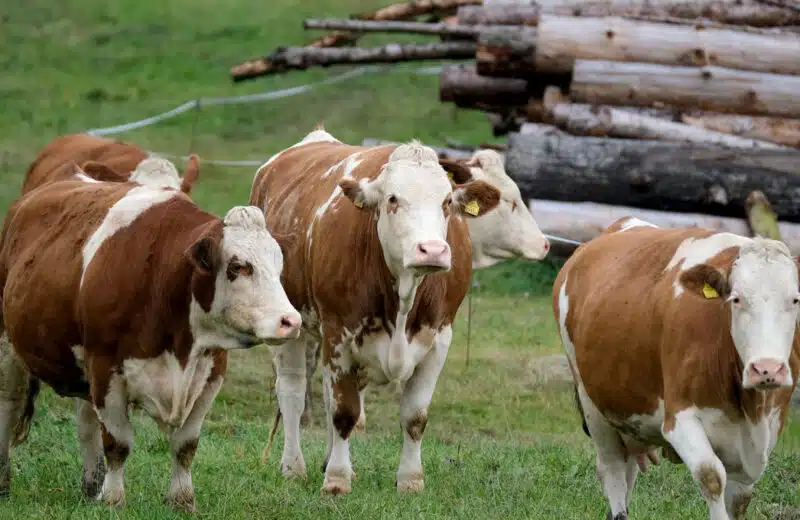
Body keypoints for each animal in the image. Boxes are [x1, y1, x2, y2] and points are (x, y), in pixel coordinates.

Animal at [0, 177, 302, 510]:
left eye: (279, 266)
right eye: (238, 266)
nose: (291, 321)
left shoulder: (211, 373)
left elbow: (185, 444)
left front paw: (181, 499)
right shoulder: (105, 368)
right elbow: (118, 442)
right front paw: (113, 499)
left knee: (85, 422)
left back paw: (92, 487)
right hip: (8, 345)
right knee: (8, 403)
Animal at [250, 128, 500, 494]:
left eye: (446, 202)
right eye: (393, 199)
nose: (432, 250)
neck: (404, 297)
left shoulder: (439, 338)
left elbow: (414, 416)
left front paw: (410, 479)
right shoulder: (339, 333)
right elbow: (344, 412)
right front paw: (336, 480)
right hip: (290, 324)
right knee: (293, 392)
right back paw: (294, 467)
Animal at [552, 217, 800, 520]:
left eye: (795, 300)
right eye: (737, 299)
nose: (767, 369)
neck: (749, 407)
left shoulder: (762, 438)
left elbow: (741, 497)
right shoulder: (679, 419)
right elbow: (711, 476)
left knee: (628, 472)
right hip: (592, 404)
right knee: (612, 471)